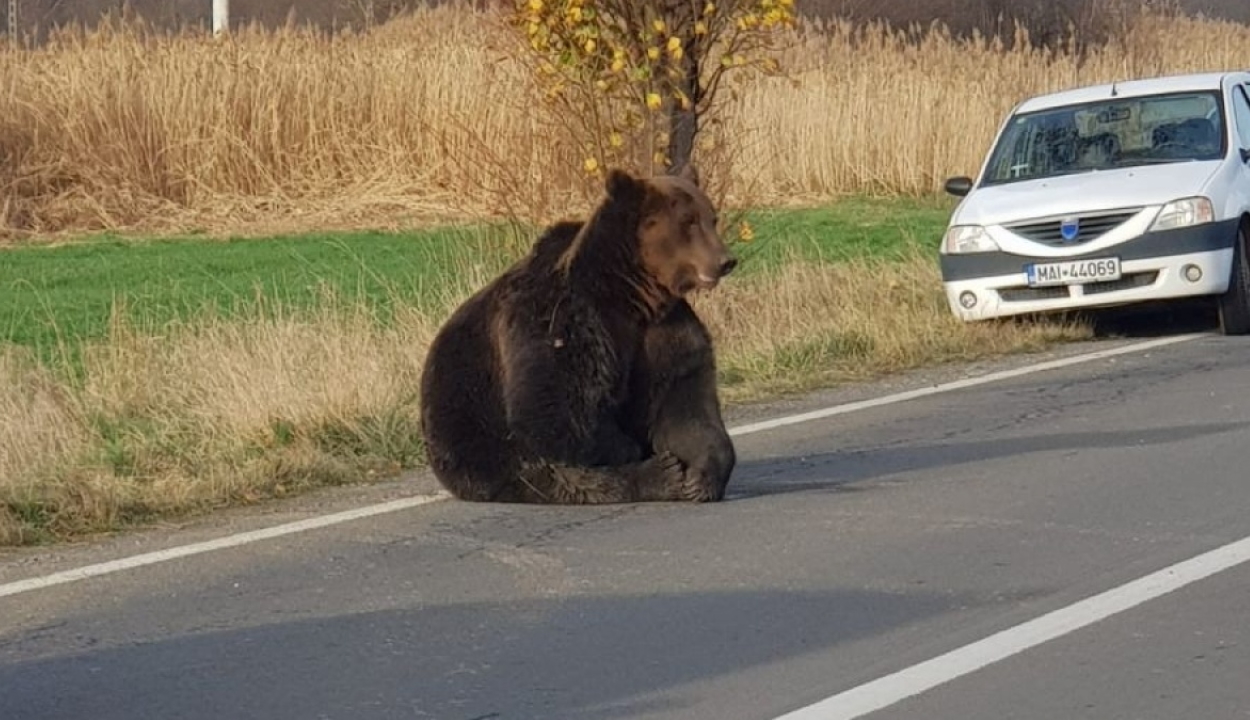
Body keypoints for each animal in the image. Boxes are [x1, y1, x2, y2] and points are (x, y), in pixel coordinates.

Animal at [420, 167, 735, 505]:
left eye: (711, 217)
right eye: (689, 221)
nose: (725, 260)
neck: (631, 295)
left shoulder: (663, 332)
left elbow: (683, 403)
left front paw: (701, 477)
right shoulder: (560, 320)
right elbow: (553, 410)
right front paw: (655, 463)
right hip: (476, 440)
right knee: (559, 475)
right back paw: (659, 475)